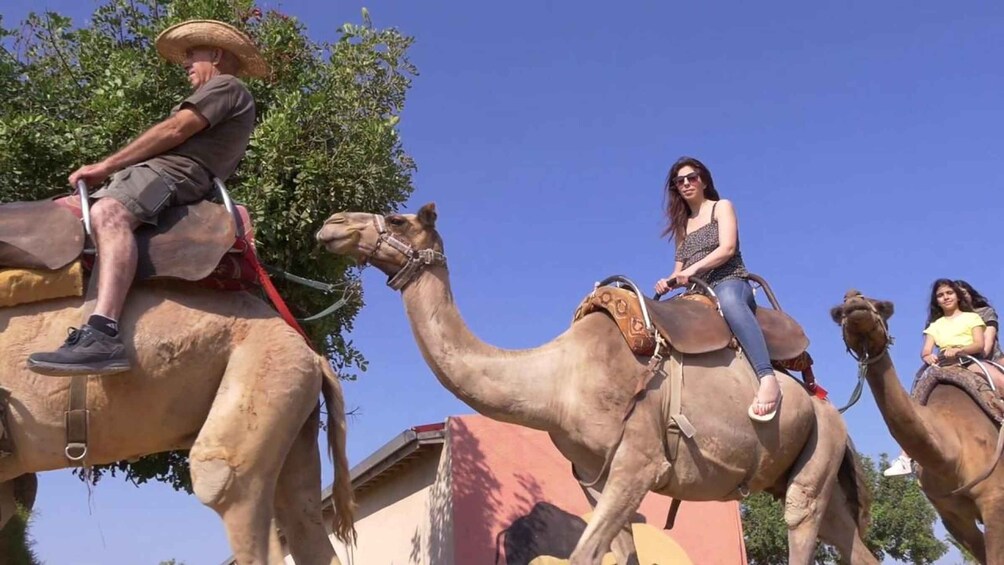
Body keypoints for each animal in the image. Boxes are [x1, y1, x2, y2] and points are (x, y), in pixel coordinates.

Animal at [317, 203, 876, 565]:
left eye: (396, 218)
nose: (331, 225)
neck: (556, 381)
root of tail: (826, 404)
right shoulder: (593, 476)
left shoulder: (640, 463)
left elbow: (585, 555)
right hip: (813, 468)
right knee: (852, 544)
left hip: (816, 451)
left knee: (802, 525)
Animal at [832, 291, 1004, 564]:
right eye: (839, 312)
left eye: (881, 306)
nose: (854, 301)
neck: (951, 454)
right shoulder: (952, 517)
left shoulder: (995, 499)